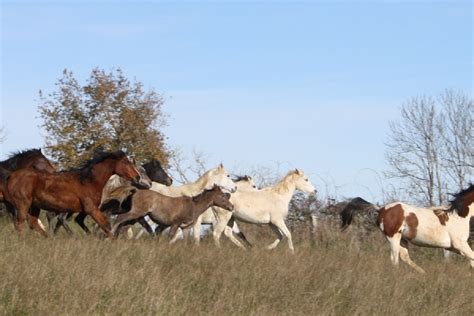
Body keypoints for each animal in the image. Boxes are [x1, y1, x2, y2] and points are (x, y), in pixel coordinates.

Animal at [4, 151, 140, 237]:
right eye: (126, 162)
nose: (137, 177)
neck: (89, 181)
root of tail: (12, 175)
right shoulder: (91, 209)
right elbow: (105, 225)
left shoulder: (85, 210)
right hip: (23, 204)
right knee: (20, 224)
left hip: (34, 206)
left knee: (33, 223)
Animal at [340, 184, 474, 272]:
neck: (459, 216)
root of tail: (381, 209)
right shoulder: (459, 244)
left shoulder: (452, 248)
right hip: (393, 238)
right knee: (394, 259)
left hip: (402, 240)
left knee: (404, 257)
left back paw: (423, 273)